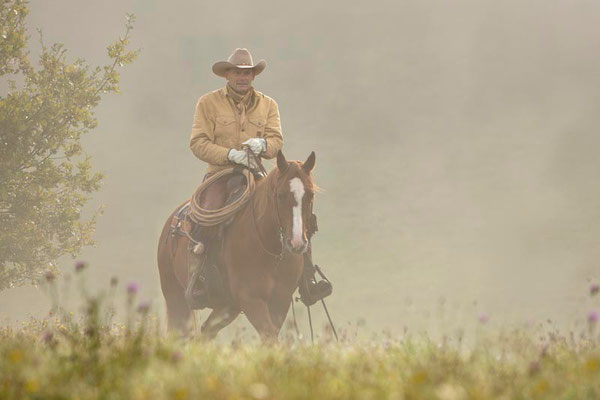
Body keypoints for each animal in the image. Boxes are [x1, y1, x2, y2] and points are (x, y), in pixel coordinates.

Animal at [158, 150, 318, 340]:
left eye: (310, 195)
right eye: (280, 195)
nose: (297, 242)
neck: (270, 249)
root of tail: (171, 222)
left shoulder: (280, 301)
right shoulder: (251, 300)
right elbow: (269, 337)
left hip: (227, 307)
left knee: (206, 332)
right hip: (176, 298)